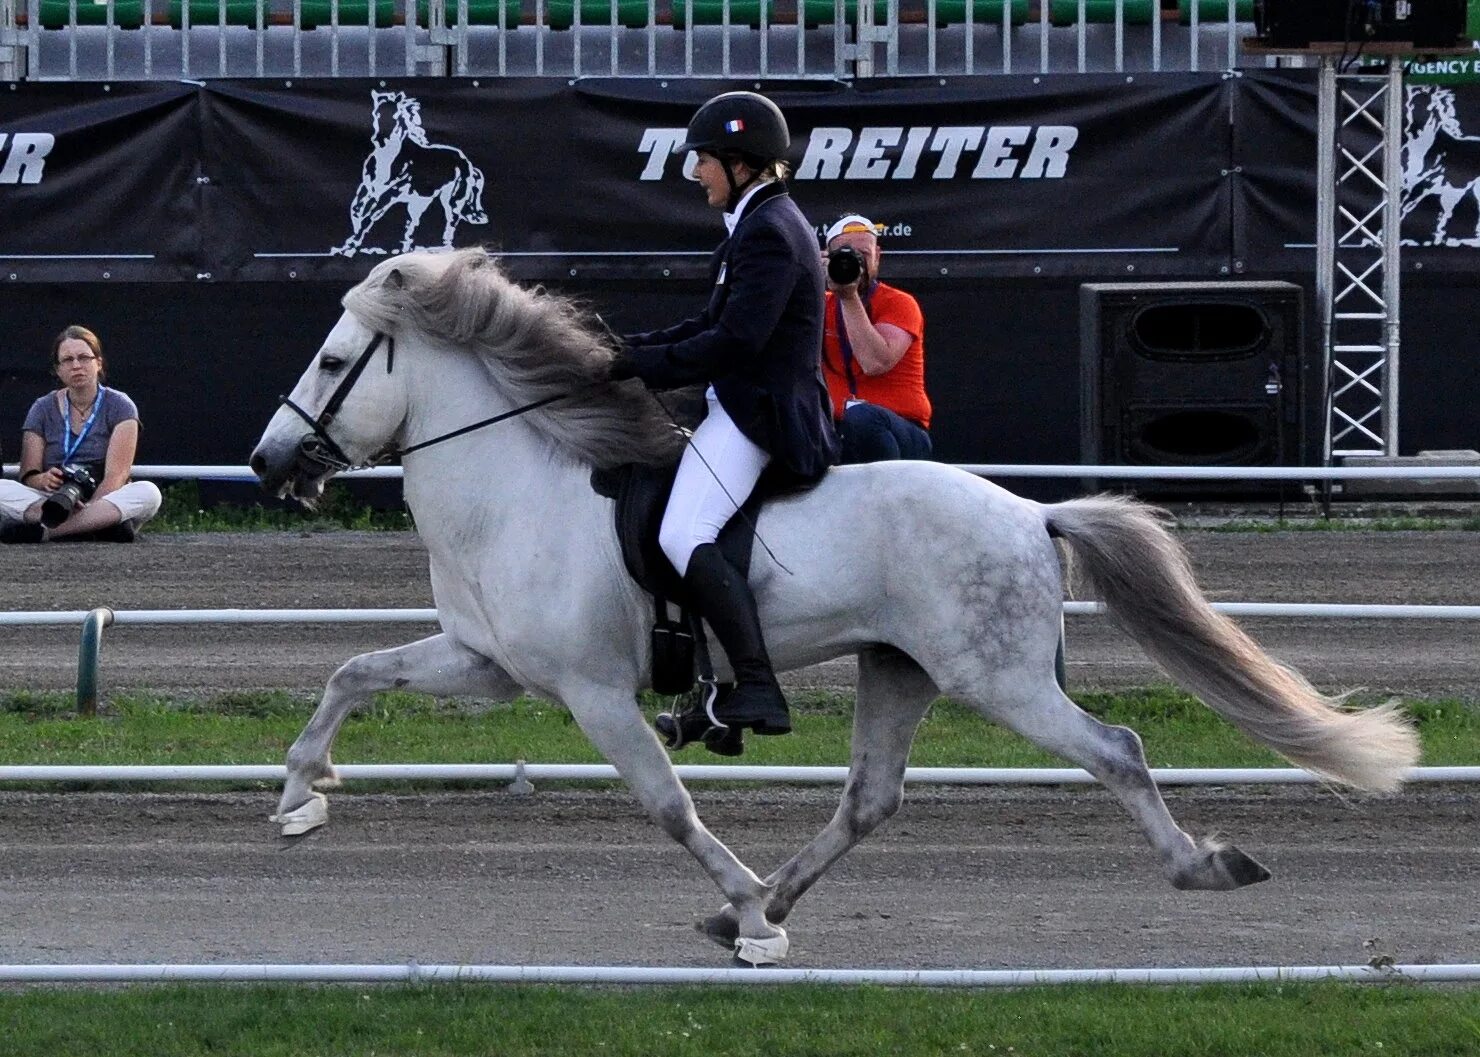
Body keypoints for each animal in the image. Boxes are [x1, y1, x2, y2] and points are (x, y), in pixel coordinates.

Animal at [251, 247, 1420, 965]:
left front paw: (750, 912)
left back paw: (1201, 866)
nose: (268, 463)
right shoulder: (486, 662)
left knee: (1116, 749)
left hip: (998, 680)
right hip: (897, 669)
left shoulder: (594, 693)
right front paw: (301, 795)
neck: (518, 488)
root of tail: (1031, 511)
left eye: (331, 357)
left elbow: (668, 805)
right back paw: (765, 901)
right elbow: (349, 673)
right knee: (870, 799)